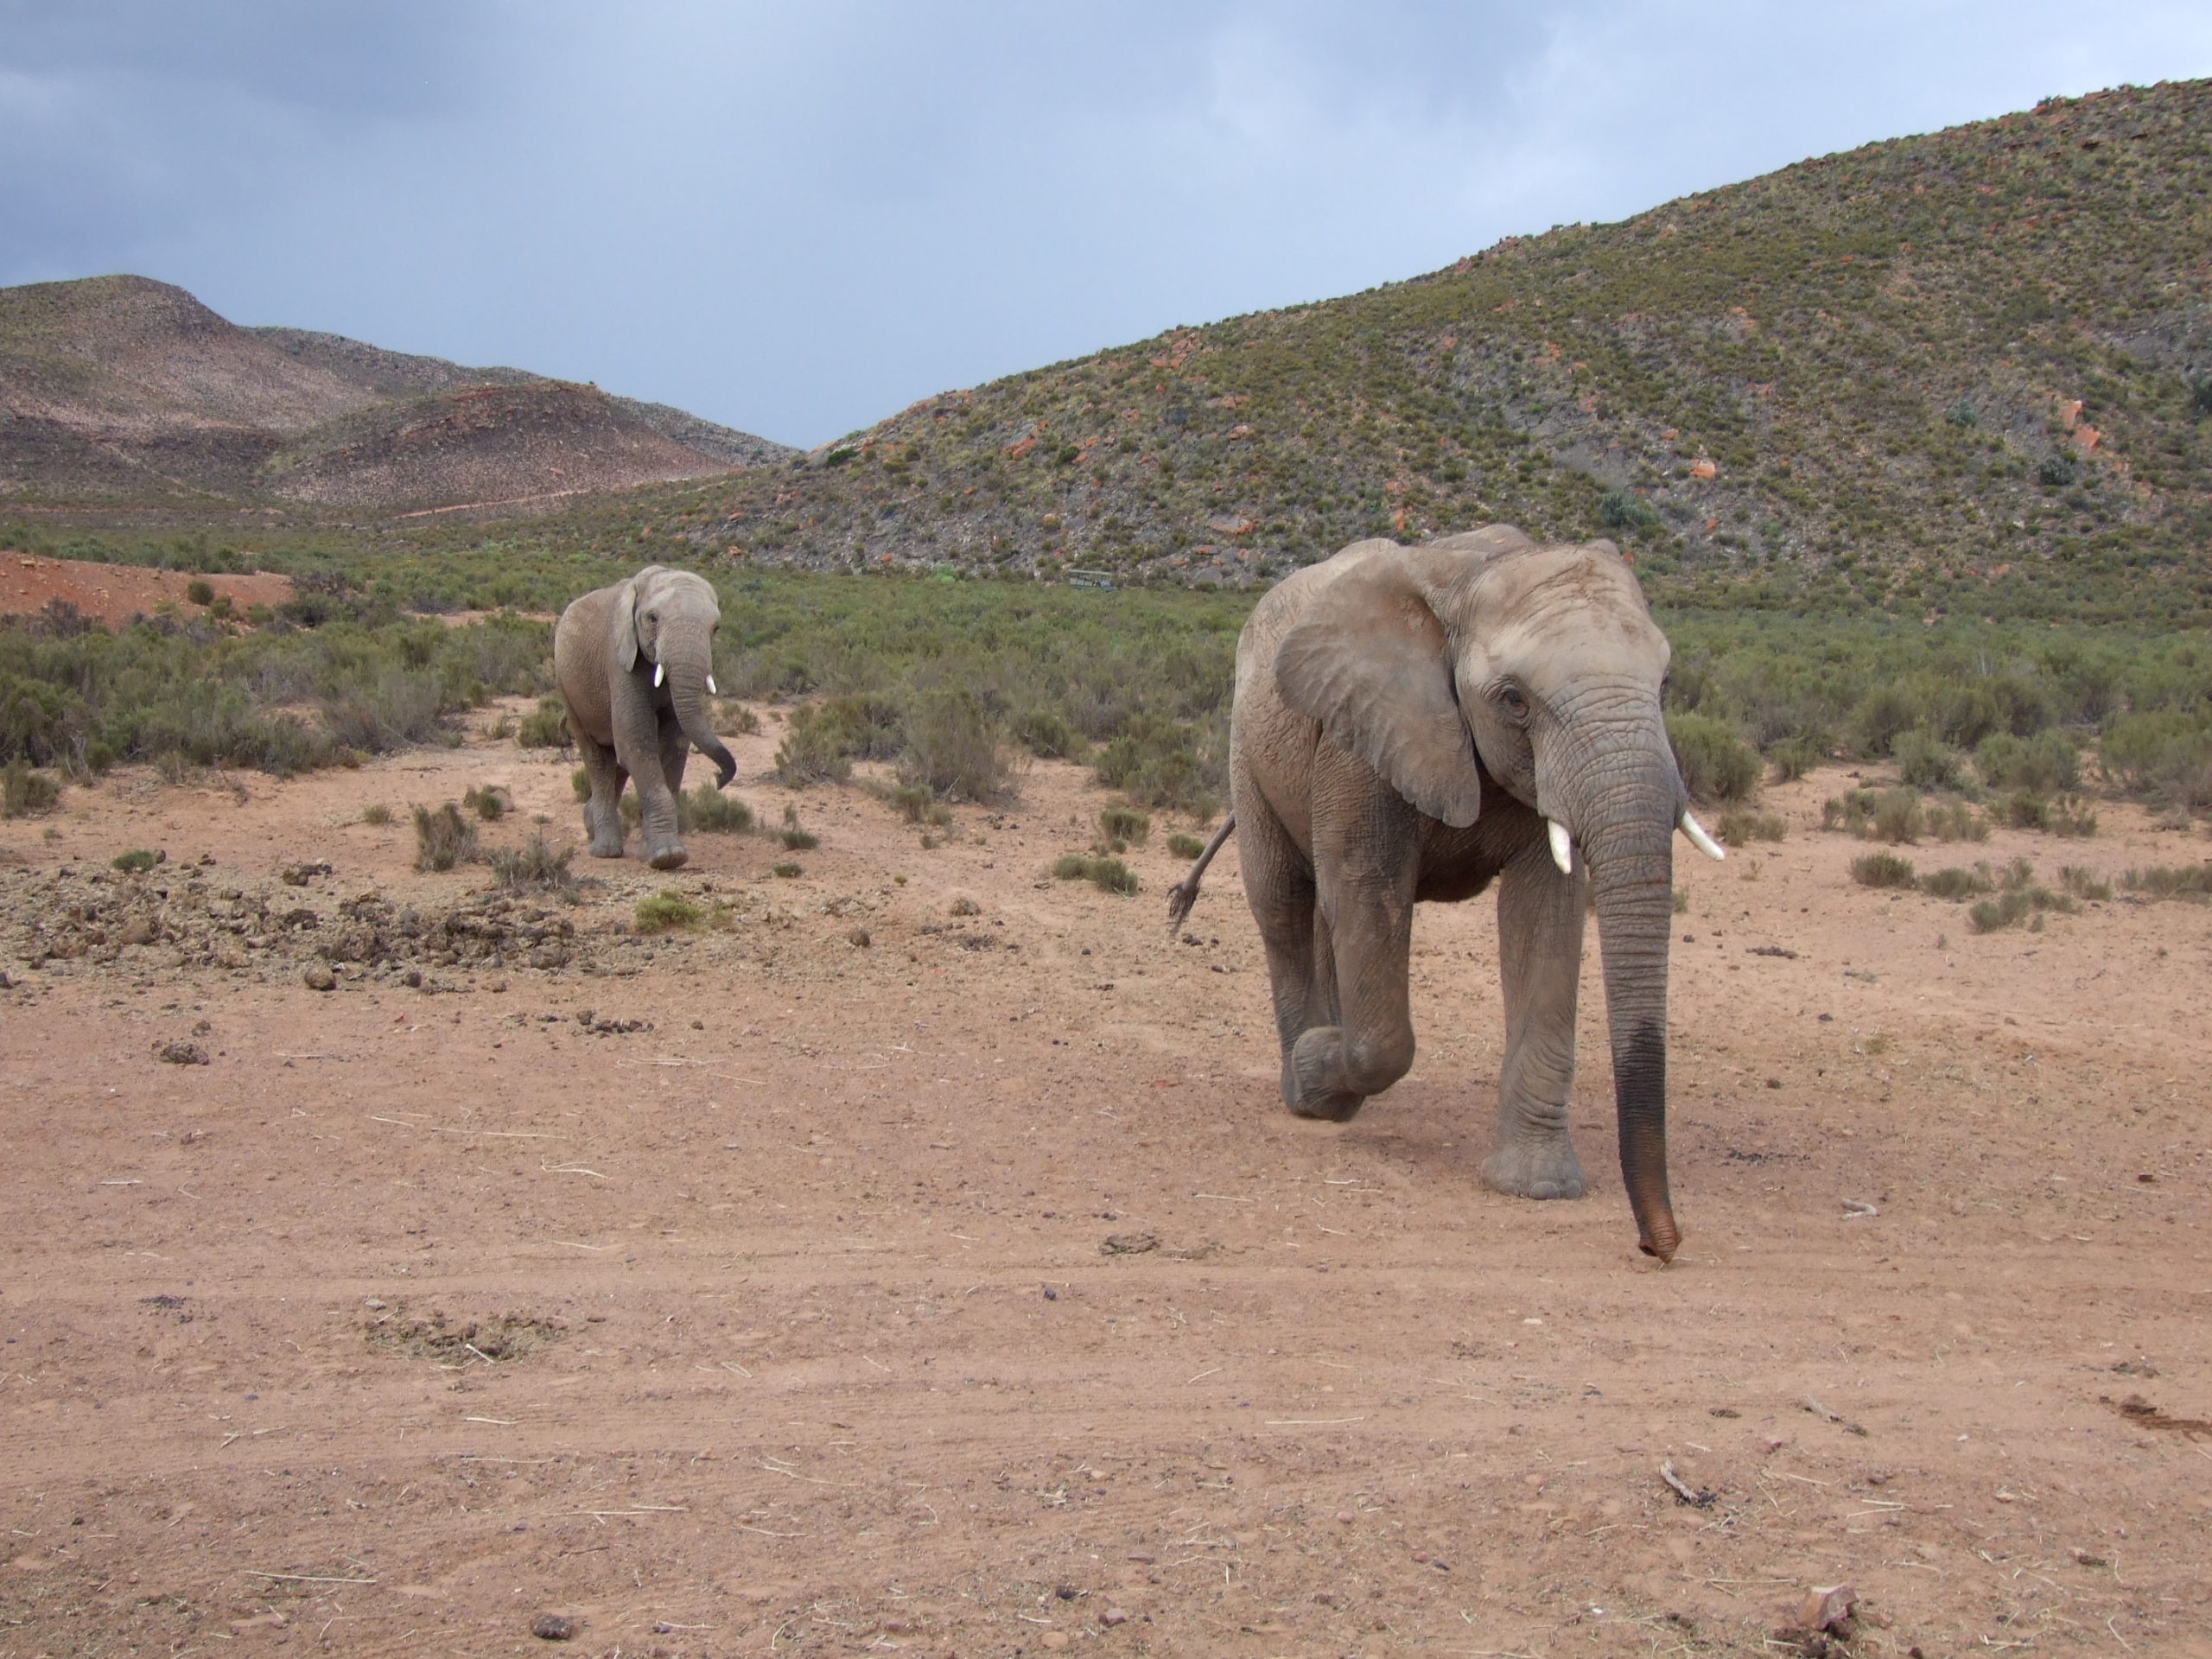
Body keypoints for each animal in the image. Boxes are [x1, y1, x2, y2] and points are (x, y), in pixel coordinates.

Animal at [553, 565, 737, 871]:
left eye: (716, 629)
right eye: (653, 619)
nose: (719, 778)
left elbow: (673, 746)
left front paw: (653, 853)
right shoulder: (619, 660)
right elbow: (637, 744)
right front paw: (667, 857)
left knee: (616, 762)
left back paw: (590, 822)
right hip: (567, 686)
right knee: (597, 758)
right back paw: (606, 850)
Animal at [1167, 527, 1724, 1261]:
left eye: (1665, 683)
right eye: (1513, 699)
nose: (1659, 1245)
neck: (1474, 580)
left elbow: (1546, 917)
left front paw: (1537, 1186)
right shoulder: (1360, 735)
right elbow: (1368, 893)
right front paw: (1319, 1069)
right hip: (1250, 748)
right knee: (1284, 903)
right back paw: (1306, 1089)